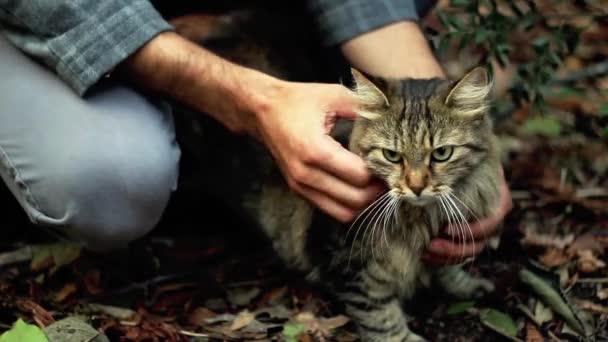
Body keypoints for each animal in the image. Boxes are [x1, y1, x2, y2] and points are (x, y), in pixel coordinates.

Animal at [172, 8, 504, 342]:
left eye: (441, 154)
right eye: (392, 156)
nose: (416, 186)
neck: (421, 219)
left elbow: (447, 267)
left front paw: (466, 285)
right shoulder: (351, 264)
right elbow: (380, 315)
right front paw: (403, 338)